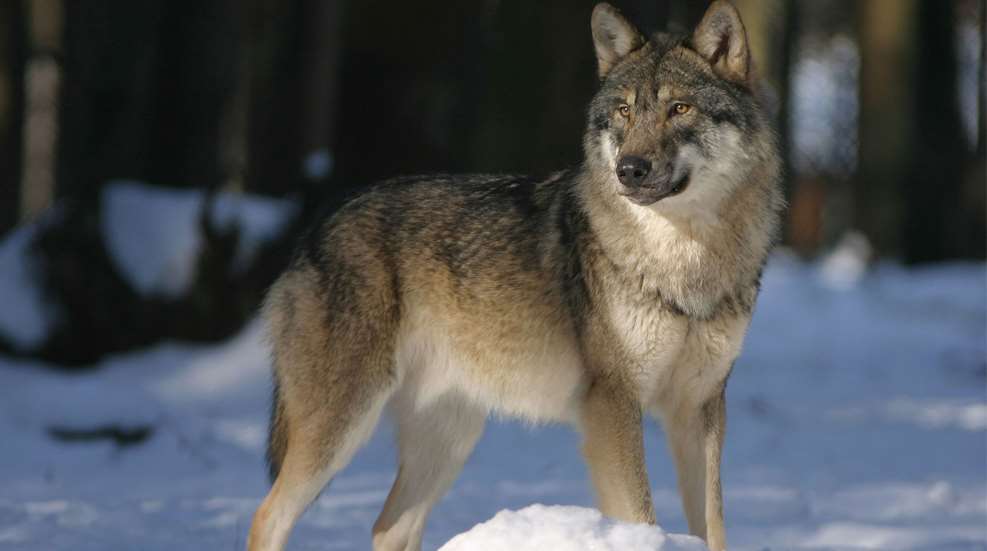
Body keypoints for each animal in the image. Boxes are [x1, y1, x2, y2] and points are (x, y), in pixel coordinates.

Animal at [247, 2, 782, 550]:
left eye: (679, 109)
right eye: (624, 112)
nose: (629, 169)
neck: (684, 261)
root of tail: (317, 227)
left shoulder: (700, 408)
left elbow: (713, 526)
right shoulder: (612, 405)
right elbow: (642, 514)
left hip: (449, 438)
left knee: (387, 527)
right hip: (343, 425)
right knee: (268, 516)